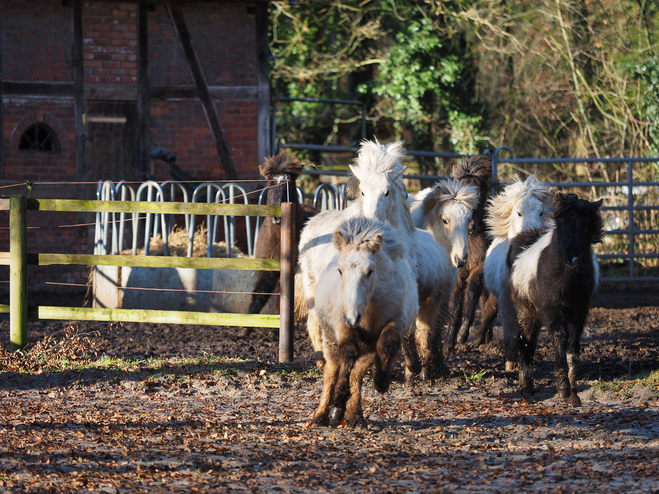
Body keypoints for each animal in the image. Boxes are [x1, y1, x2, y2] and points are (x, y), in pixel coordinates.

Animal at [246, 149, 320, 330]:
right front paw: (245, 326)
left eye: (289, 183)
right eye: (270, 184)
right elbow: (260, 293)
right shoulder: (267, 267)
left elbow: (284, 299)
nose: (277, 217)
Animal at [310, 217, 416, 428]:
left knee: (357, 373)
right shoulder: (342, 325)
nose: (352, 317)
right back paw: (323, 414)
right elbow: (348, 353)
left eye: (369, 271)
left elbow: (388, 346)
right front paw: (338, 398)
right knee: (332, 370)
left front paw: (381, 383)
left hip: (368, 347)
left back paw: (353, 416)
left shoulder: (396, 322)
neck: (370, 307)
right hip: (329, 339)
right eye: (340, 270)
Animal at [444, 156, 496, 354]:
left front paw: (463, 334)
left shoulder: (479, 268)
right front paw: (448, 344)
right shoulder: (456, 271)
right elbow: (453, 305)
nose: (470, 226)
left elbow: (471, 295)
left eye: (480, 193)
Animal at [482, 174, 556, 370]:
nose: (534, 234)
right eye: (519, 213)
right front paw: (510, 364)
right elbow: (511, 332)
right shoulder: (506, 300)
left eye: (541, 212)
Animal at [506, 193, 604, 406]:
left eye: (586, 224)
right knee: (527, 342)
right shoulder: (553, 310)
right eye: (562, 223)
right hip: (527, 310)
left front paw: (573, 392)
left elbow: (573, 347)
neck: (568, 277)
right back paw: (526, 387)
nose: (572, 259)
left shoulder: (579, 311)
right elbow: (559, 339)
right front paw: (563, 388)